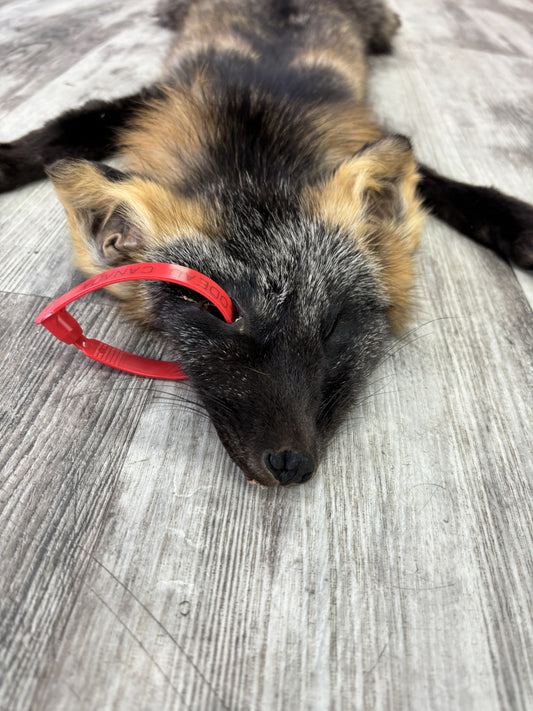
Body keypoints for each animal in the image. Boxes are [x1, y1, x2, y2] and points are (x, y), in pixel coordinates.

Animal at [1, 0, 532, 487]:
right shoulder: (157, 96)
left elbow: (439, 181)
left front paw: (512, 219)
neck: (258, 129)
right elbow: (68, 125)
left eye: (335, 324)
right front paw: (8, 157)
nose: (290, 463)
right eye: (215, 314)